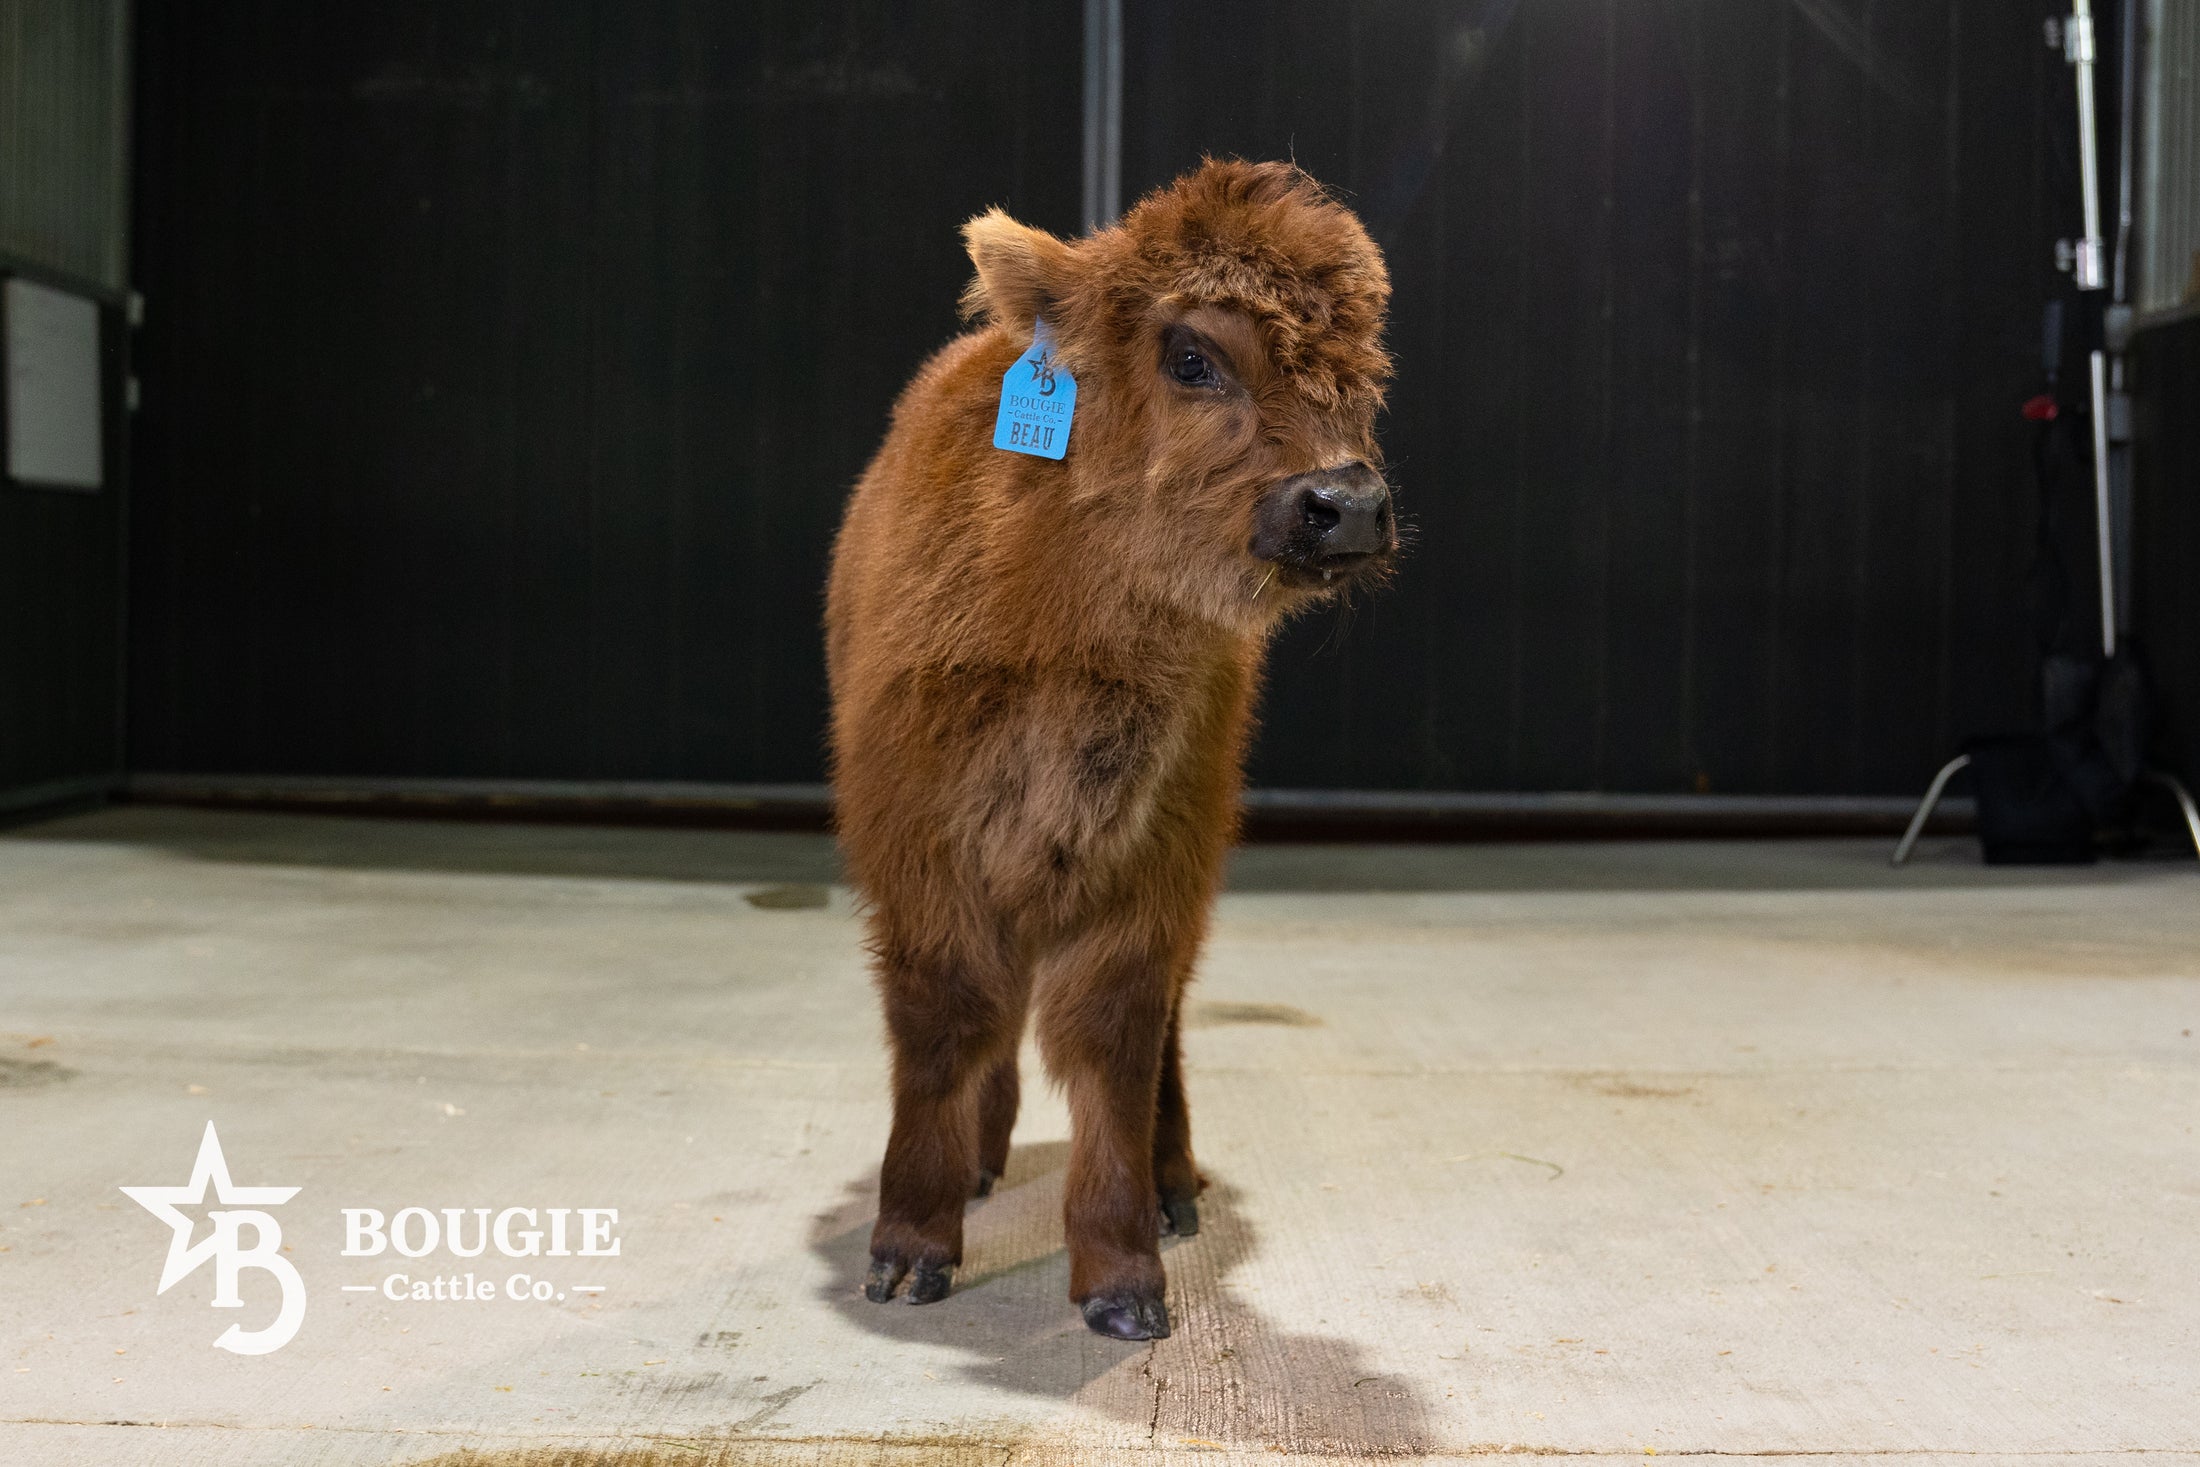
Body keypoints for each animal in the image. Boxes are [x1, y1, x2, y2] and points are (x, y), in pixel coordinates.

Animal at [826, 159, 1395, 1341]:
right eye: (1192, 358)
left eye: (1363, 369)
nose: (1350, 505)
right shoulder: (921, 854)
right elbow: (947, 1020)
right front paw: (908, 1247)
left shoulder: (1151, 867)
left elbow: (1116, 1041)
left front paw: (1126, 1275)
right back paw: (984, 1161)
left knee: (1167, 1023)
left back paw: (1174, 1182)